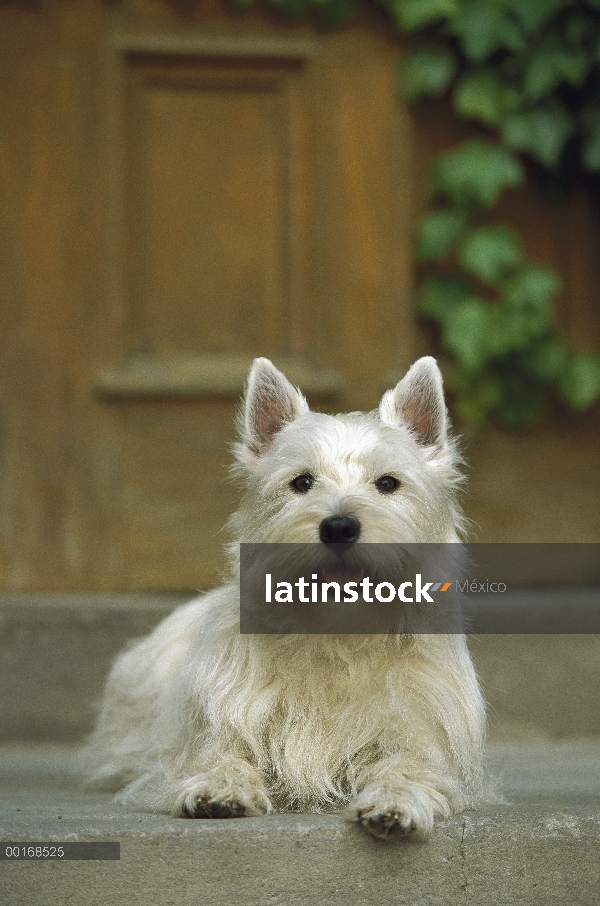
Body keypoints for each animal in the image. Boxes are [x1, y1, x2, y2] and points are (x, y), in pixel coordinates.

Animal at [83, 356, 488, 836]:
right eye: (302, 482)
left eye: (388, 483)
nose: (339, 526)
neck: (339, 636)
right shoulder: (217, 727)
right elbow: (221, 756)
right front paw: (219, 790)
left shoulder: (421, 732)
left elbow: (408, 766)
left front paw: (395, 802)